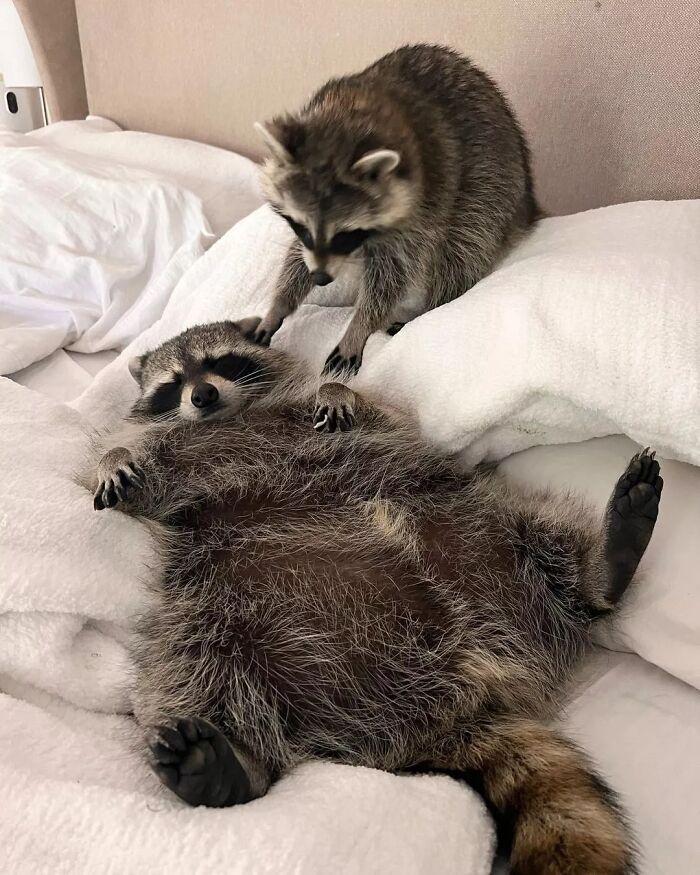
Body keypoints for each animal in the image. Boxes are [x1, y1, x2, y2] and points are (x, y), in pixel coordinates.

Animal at [90, 322, 662, 875]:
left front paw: (336, 389)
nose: (204, 395)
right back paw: (233, 765)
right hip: (213, 604)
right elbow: (132, 473)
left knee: (536, 533)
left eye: (221, 362)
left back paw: (600, 567)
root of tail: (447, 700)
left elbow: (380, 414)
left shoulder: (356, 419)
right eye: (173, 384)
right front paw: (113, 461)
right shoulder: (167, 463)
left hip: (473, 528)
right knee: (189, 667)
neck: (232, 417)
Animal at [248, 43, 538, 375]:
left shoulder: (424, 203)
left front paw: (359, 327)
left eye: (344, 235)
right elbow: (297, 256)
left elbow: (393, 273)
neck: (345, 118)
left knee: (463, 248)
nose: (320, 278)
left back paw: (434, 305)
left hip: (492, 181)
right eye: (303, 227)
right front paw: (279, 304)